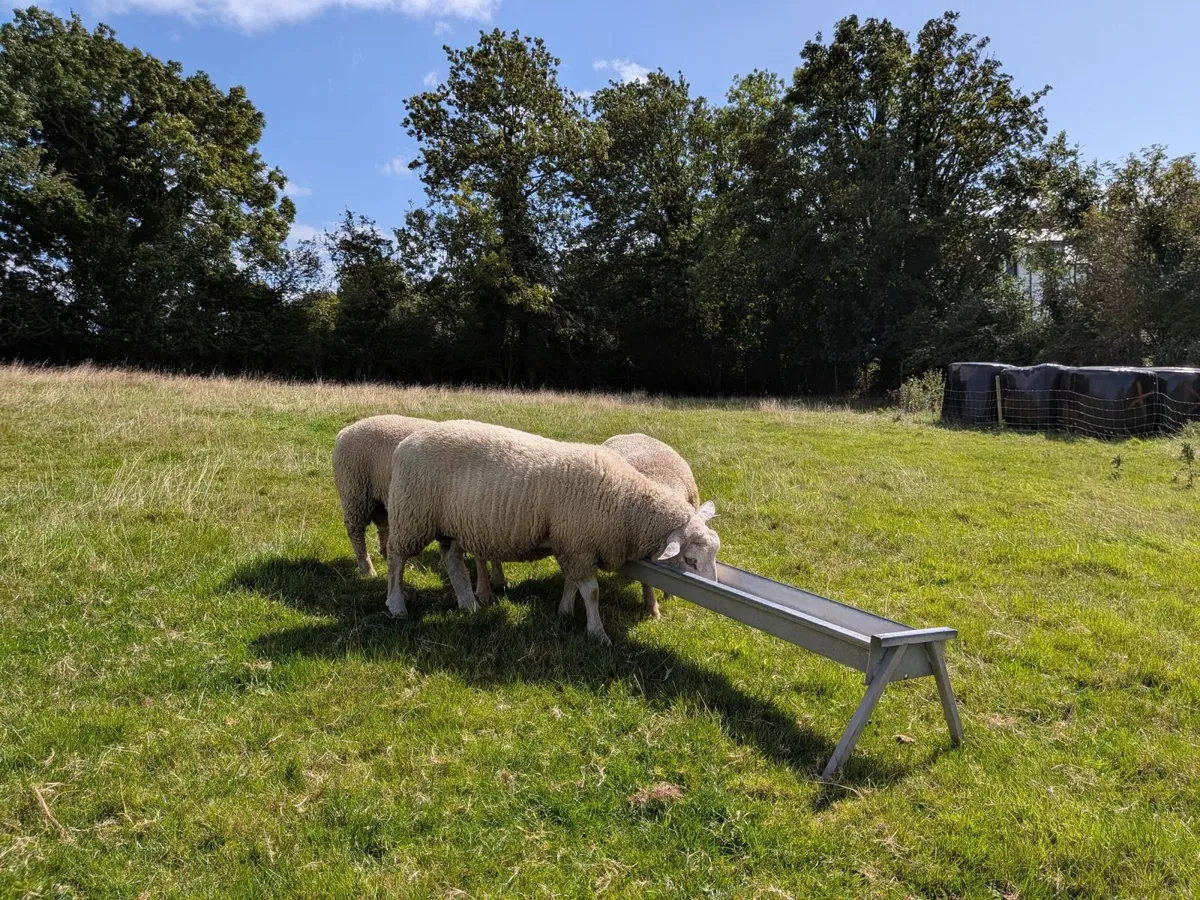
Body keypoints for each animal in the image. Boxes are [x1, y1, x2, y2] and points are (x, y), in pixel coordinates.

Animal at [332, 415, 506, 597]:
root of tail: (345, 431)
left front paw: (497, 578)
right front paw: (489, 586)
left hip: (384, 497)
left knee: (384, 526)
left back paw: (388, 556)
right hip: (355, 492)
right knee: (356, 531)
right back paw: (367, 569)